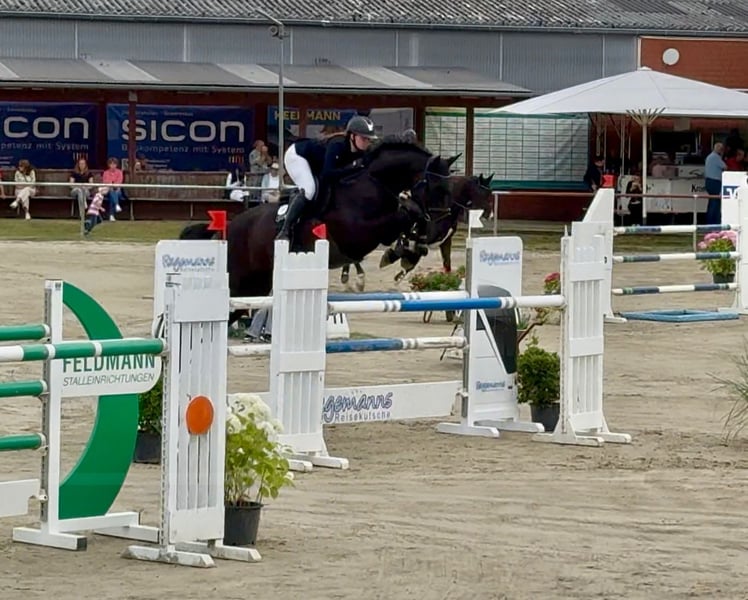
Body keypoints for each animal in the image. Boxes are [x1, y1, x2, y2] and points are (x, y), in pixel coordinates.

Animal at [178, 139, 459, 326]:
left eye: (450, 188)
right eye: (435, 187)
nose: (441, 229)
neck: (372, 184)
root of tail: (225, 231)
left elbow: (407, 224)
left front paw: (408, 251)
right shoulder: (357, 234)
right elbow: (404, 215)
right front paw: (401, 250)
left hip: (254, 286)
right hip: (238, 283)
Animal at [338, 172, 495, 290]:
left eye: (490, 193)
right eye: (485, 194)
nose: (491, 215)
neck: (443, 205)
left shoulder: (443, 240)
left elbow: (445, 263)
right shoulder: (419, 238)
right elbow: (409, 254)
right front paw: (391, 260)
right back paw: (357, 280)